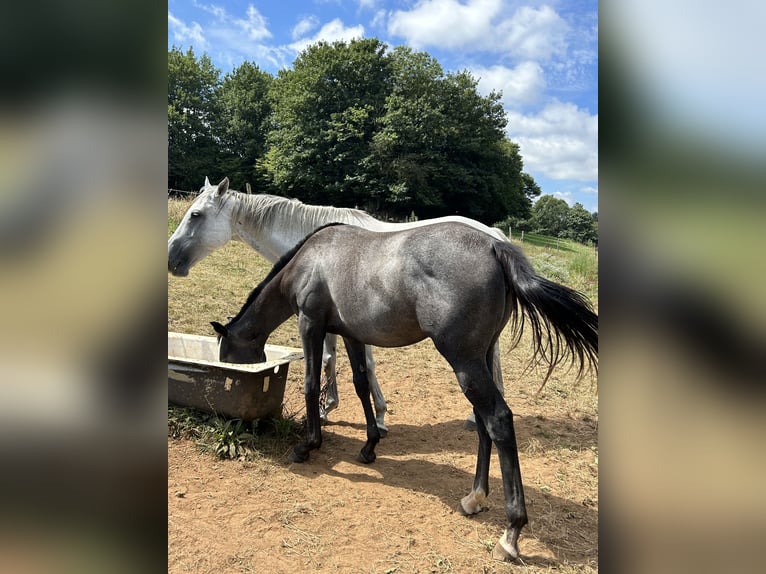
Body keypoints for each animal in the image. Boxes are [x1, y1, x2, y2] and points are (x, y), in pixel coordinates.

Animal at [168, 178, 510, 434]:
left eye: (196, 215)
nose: (171, 259)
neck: (319, 244)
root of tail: (494, 236)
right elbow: (331, 358)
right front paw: (328, 405)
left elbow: (362, 364)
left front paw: (378, 417)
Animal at [210, 223, 600, 564]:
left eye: (225, 354)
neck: (312, 258)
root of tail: (494, 246)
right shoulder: (351, 334)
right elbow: (361, 383)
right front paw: (369, 446)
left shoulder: (311, 324)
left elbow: (309, 383)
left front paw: (307, 446)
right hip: (482, 357)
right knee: (484, 422)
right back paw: (474, 498)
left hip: (464, 361)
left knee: (499, 419)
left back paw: (510, 534)